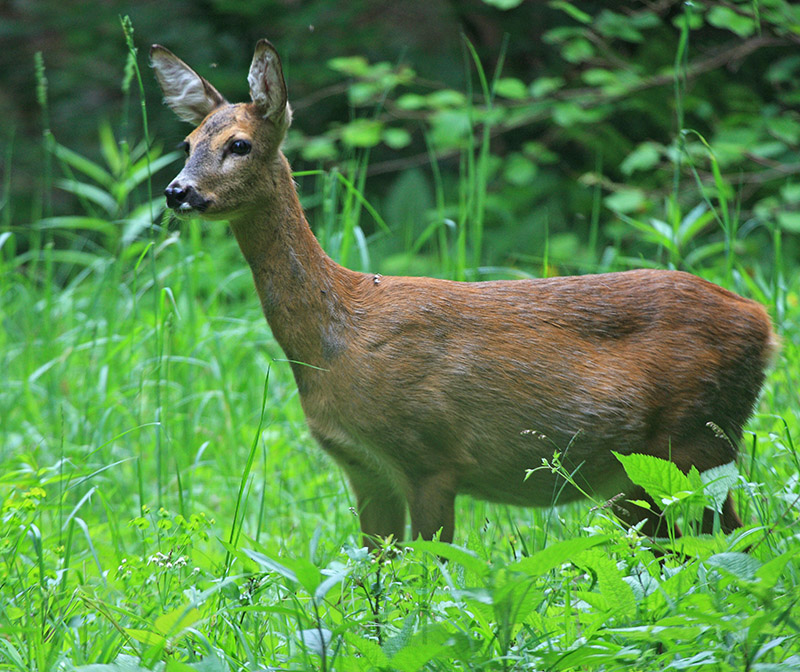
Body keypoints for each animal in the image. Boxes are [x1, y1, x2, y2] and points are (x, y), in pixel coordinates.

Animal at [150, 39, 776, 548]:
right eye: (186, 141)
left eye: (239, 144)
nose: (177, 191)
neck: (339, 338)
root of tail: (765, 323)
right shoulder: (364, 469)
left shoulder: (430, 457)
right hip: (641, 477)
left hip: (697, 440)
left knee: (737, 541)